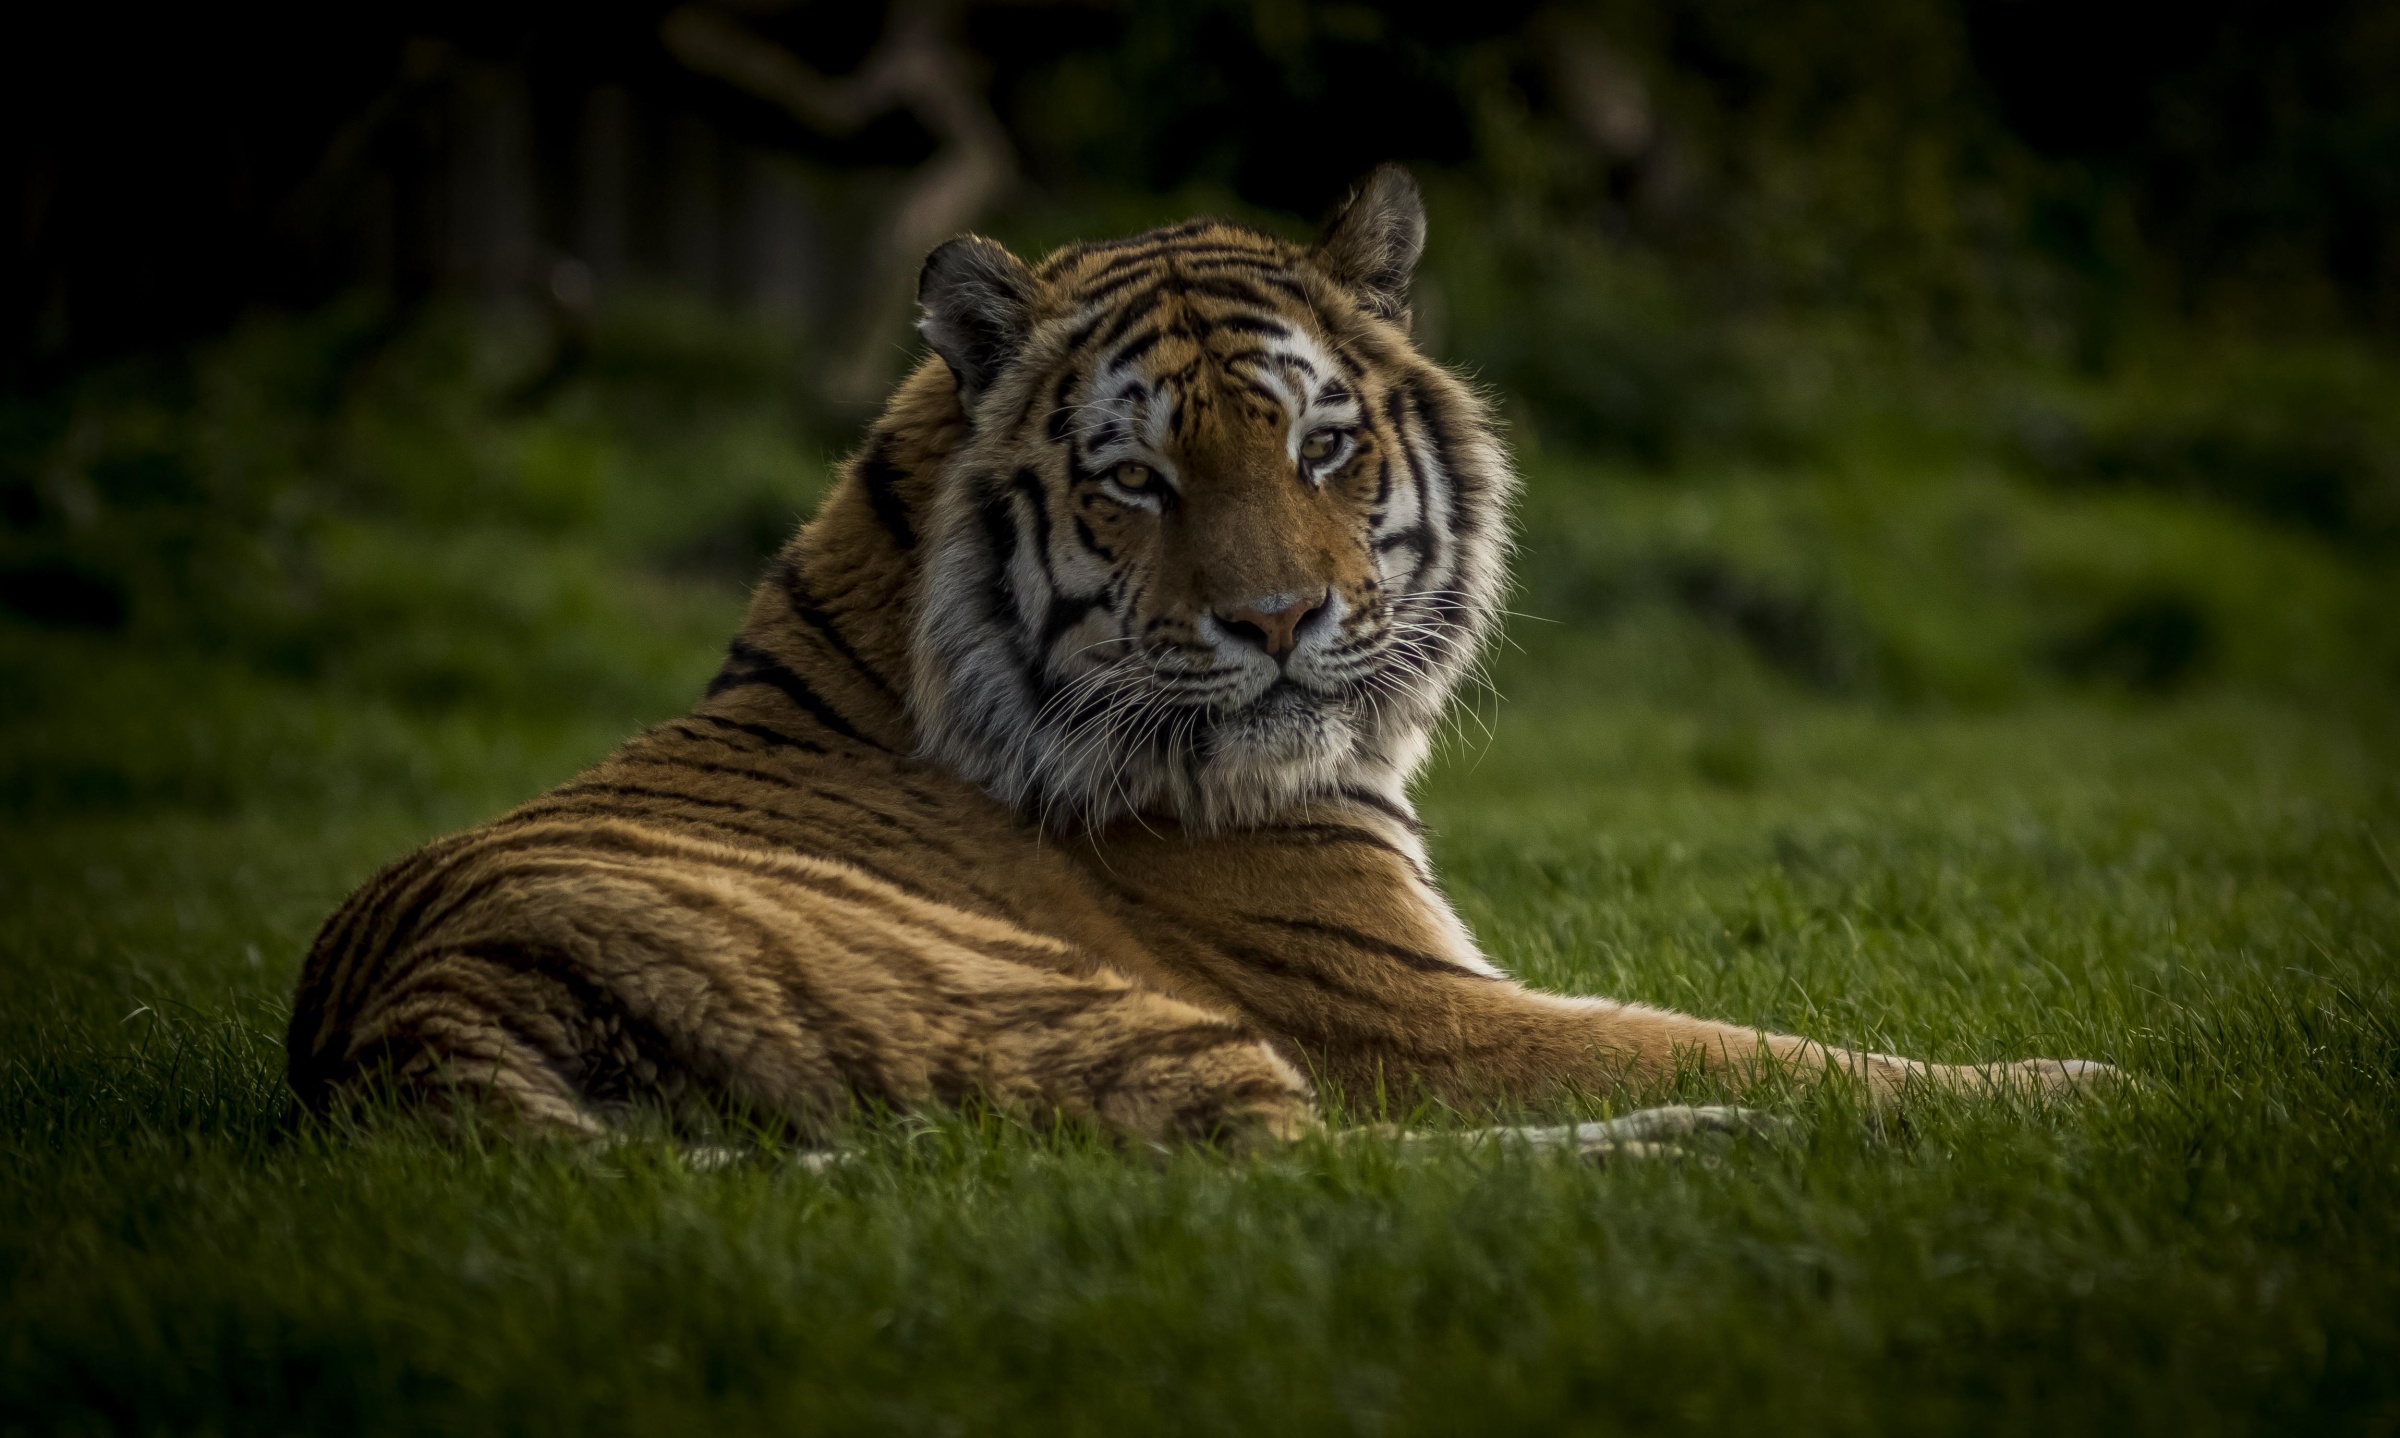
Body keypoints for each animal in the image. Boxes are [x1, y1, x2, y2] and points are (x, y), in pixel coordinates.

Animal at [280, 169, 2112, 1152]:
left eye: (1322, 444)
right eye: (1139, 478)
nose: (1282, 623)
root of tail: (405, 1022)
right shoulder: (1410, 1016)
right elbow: (1774, 1041)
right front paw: (2082, 1081)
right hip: (1109, 1012)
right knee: (1318, 1186)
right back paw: (1744, 1138)